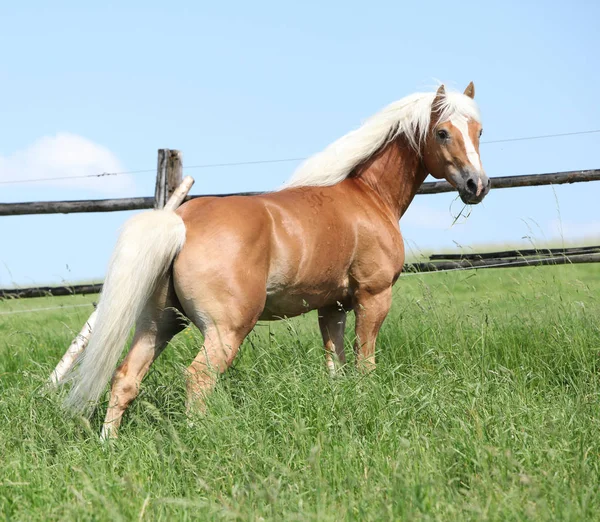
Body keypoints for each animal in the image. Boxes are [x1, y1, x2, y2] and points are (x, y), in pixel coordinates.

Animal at [63, 82, 490, 438]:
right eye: (442, 132)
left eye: (479, 131)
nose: (477, 185)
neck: (368, 195)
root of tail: (181, 222)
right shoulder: (373, 297)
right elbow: (364, 363)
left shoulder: (331, 307)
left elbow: (335, 366)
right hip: (224, 331)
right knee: (198, 379)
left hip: (159, 324)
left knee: (125, 378)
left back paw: (109, 443)